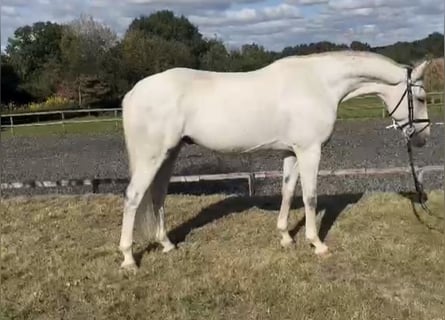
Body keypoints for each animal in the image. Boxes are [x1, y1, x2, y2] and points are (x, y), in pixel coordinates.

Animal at [116, 51, 428, 272]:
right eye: (422, 97)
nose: (422, 139)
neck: (319, 84)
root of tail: (133, 92)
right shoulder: (310, 151)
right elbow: (311, 197)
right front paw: (317, 244)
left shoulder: (291, 152)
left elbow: (288, 191)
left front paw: (285, 237)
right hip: (151, 155)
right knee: (134, 197)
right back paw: (129, 259)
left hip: (169, 154)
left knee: (157, 196)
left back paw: (167, 245)